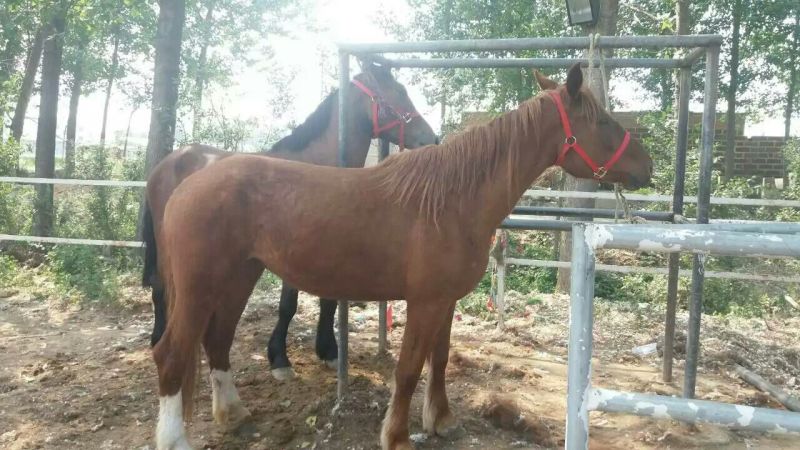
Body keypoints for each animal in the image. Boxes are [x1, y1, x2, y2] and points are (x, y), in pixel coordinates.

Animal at [141, 60, 438, 380]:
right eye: (400, 91)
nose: (431, 138)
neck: (317, 165)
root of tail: (168, 161)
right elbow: (288, 306)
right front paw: (279, 359)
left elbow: (329, 300)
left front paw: (329, 351)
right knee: (161, 290)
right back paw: (157, 339)